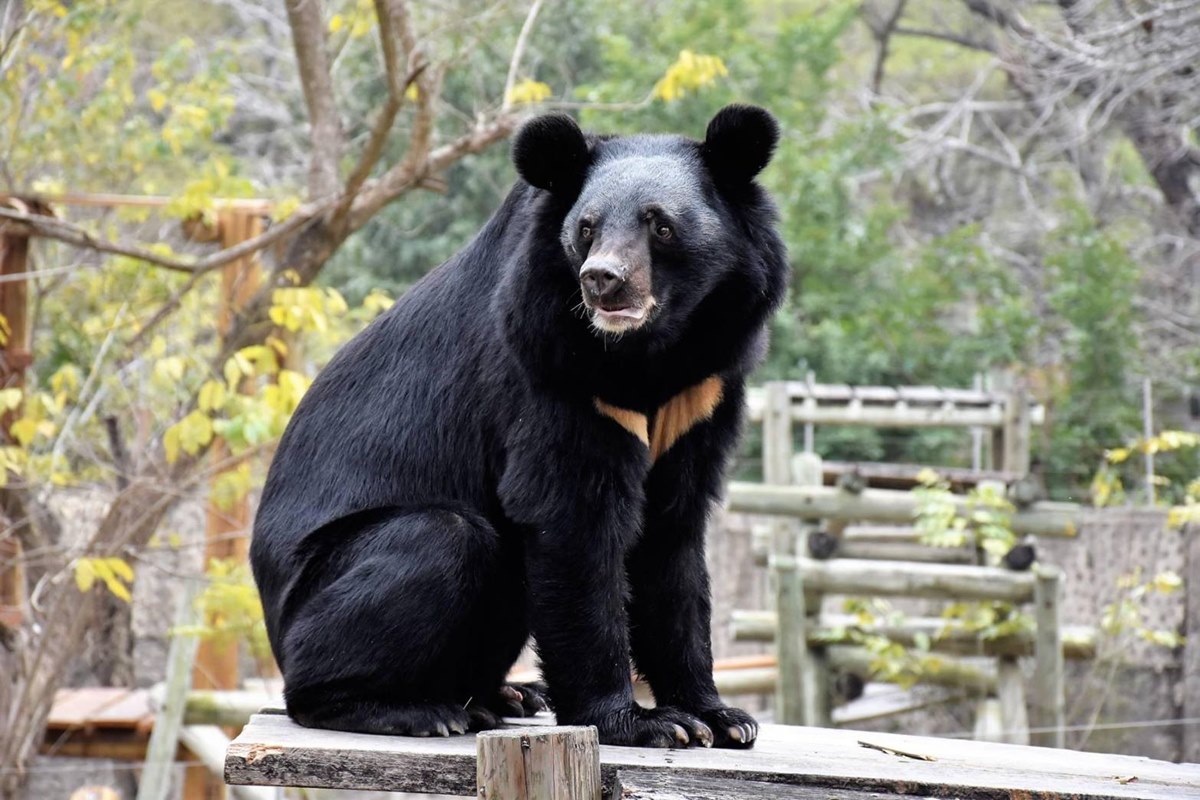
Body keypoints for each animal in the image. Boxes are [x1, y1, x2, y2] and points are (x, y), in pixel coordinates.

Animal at [250, 106, 787, 753]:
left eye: (660, 226)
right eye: (586, 228)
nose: (602, 280)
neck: (649, 353)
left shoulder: (703, 389)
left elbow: (673, 536)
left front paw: (722, 717)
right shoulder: (550, 367)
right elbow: (571, 519)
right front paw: (643, 723)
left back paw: (507, 695)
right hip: (316, 588)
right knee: (442, 538)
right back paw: (412, 709)